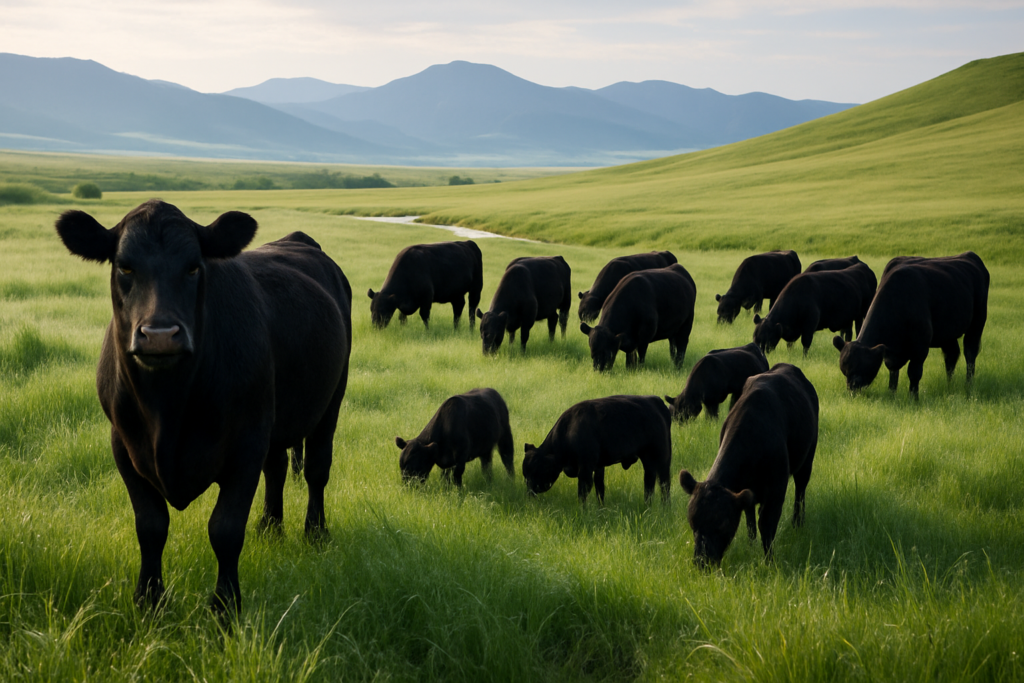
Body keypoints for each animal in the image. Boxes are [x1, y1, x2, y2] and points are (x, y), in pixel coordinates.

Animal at [54, 200, 352, 616]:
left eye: (194, 266)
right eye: (124, 266)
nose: (160, 335)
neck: (168, 408)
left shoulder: (246, 445)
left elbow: (225, 530)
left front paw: (225, 608)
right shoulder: (124, 446)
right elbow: (150, 526)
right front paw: (149, 601)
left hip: (331, 400)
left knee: (316, 470)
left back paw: (315, 533)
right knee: (277, 467)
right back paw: (270, 527)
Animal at [522, 395, 672, 504]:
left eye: (536, 471)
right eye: (525, 474)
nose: (529, 493)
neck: (568, 430)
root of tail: (653, 399)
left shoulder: (586, 469)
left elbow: (583, 493)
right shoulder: (598, 467)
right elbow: (600, 490)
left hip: (662, 458)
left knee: (664, 485)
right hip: (648, 461)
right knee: (649, 484)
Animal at [679, 363, 818, 569]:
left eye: (722, 524)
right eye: (692, 522)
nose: (703, 562)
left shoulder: (776, 490)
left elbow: (766, 525)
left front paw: (769, 562)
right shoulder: (746, 490)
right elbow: (750, 521)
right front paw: (750, 546)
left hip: (807, 459)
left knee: (800, 491)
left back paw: (797, 522)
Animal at [832, 252, 989, 398]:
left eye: (862, 368)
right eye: (845, 371)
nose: (852, 389)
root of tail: (969, 255)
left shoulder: (920, 346)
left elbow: (914, 372)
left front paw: (914, 398)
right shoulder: (891, 353)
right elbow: (893, 372)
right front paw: (892, 394)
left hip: (978, 321)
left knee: (970, 353)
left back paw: (968, 384)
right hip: (948, 332)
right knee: (951, 355)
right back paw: (950, 384)